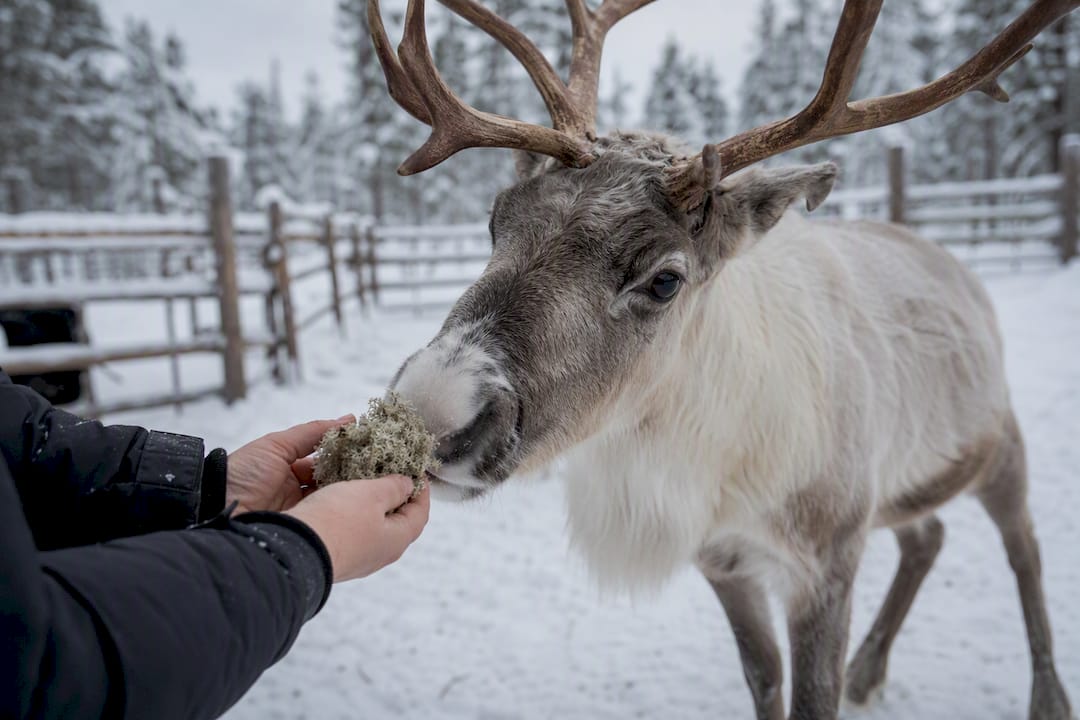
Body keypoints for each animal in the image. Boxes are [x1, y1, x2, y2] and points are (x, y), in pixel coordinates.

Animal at [367, 1, 1077, 718]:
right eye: (495, 222)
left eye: (664, 279)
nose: (432, 409)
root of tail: (955, 265)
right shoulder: (722, 560)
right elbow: (763, 676)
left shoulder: (828, 558)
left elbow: (812, 694)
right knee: (927, 537)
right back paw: (869, 668)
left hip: (998, 442)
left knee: (1025, 550)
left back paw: (1046, 694)